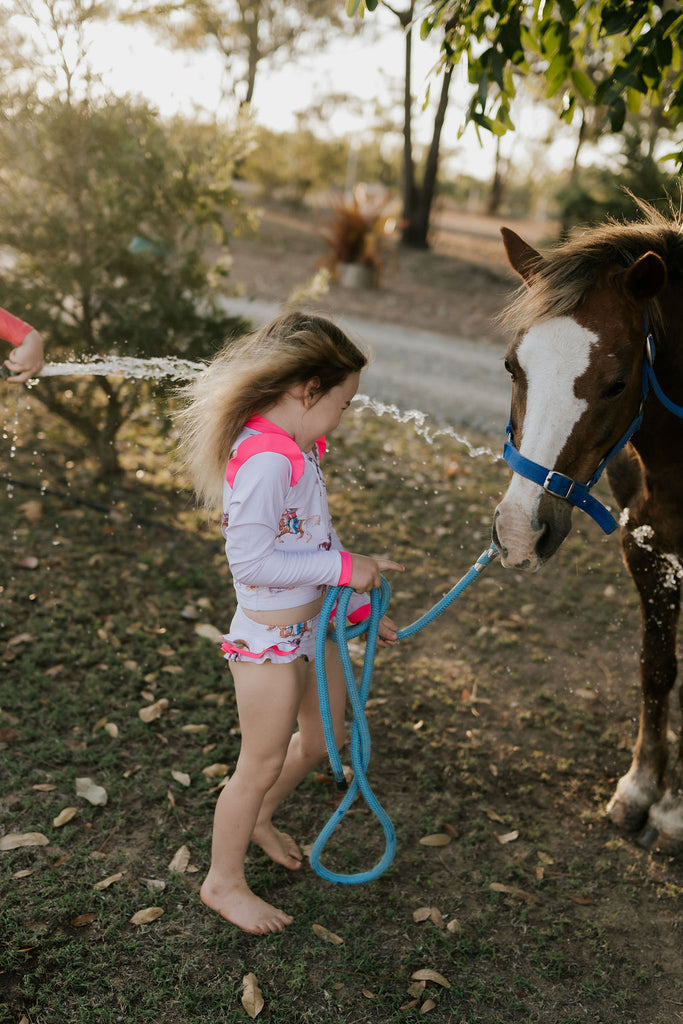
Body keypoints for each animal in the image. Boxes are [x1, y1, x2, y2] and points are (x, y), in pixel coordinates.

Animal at [492, 201, 683, 853]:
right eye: (512, 366)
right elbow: (657, 667)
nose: (520, 533)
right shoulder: (648, 548)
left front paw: (675, 811)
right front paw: (642, 789)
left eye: (617, 382)